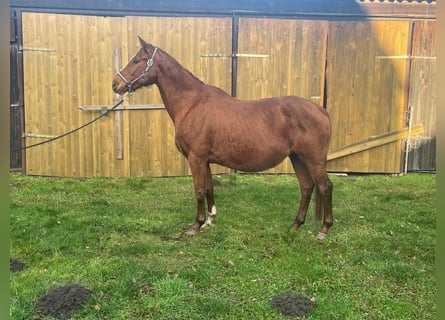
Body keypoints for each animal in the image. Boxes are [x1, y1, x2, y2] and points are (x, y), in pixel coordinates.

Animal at [112, 37, 332, 238]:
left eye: (136, 60)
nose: (115, 84)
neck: (193, 104)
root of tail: (320, 110)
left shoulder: (196, 158)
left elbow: (199, 190)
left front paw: (196, 225)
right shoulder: (205, 160)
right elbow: (209, 188)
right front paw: (210, 220)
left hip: (313, 159)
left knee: (324, 186)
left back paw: (323, 229)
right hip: (297, 158)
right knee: (306, 187)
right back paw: (296, 225)